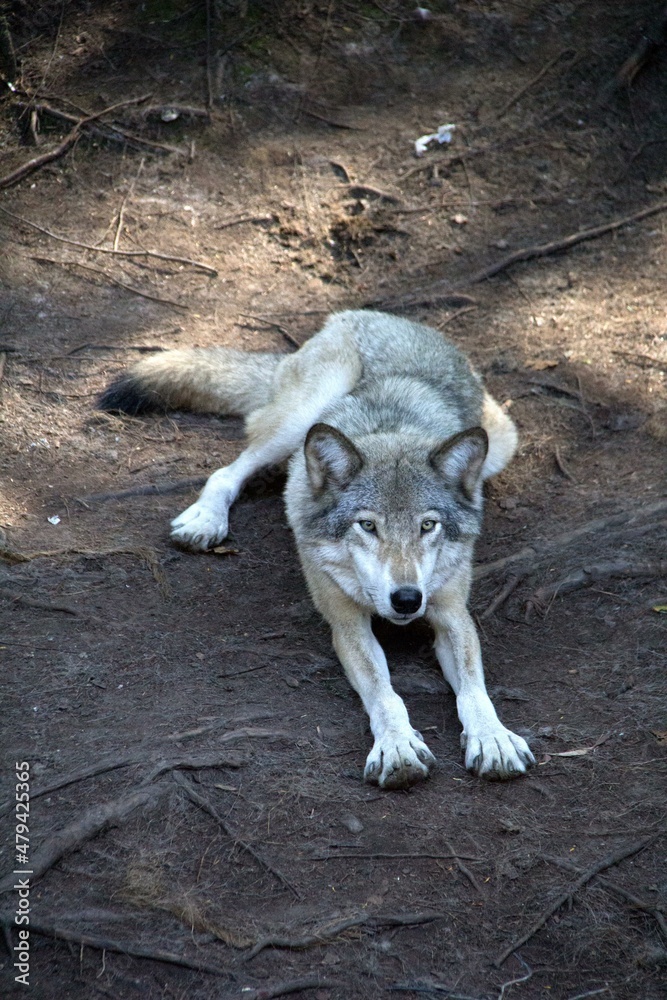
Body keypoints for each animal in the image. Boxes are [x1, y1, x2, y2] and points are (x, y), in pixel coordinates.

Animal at [99, 310, 534, 789]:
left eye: (428, 526)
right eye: (368, 526)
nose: (406, 599)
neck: (392, 429)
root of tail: (372, 315)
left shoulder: (453, 614)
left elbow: (475, 690)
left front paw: (492, 738)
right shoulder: (347, 624)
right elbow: (385, 695)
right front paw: (398, 746)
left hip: (501, 442)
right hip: (302, 417)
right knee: (228, 469)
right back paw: (205, 520)